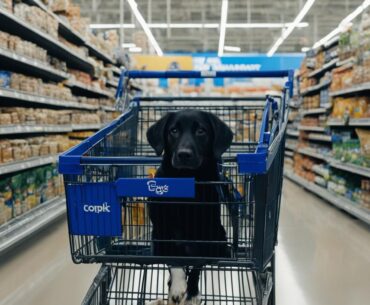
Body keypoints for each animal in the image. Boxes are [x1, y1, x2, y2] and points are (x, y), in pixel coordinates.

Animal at [146, 109, 233, 304]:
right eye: (173, 131)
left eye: (201, 131)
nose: (184, 154)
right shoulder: (163, 230)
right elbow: (175, 261)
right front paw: (177, 287)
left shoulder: (207, 234)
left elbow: (198, 265)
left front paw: (192, 292)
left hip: (220, 235)